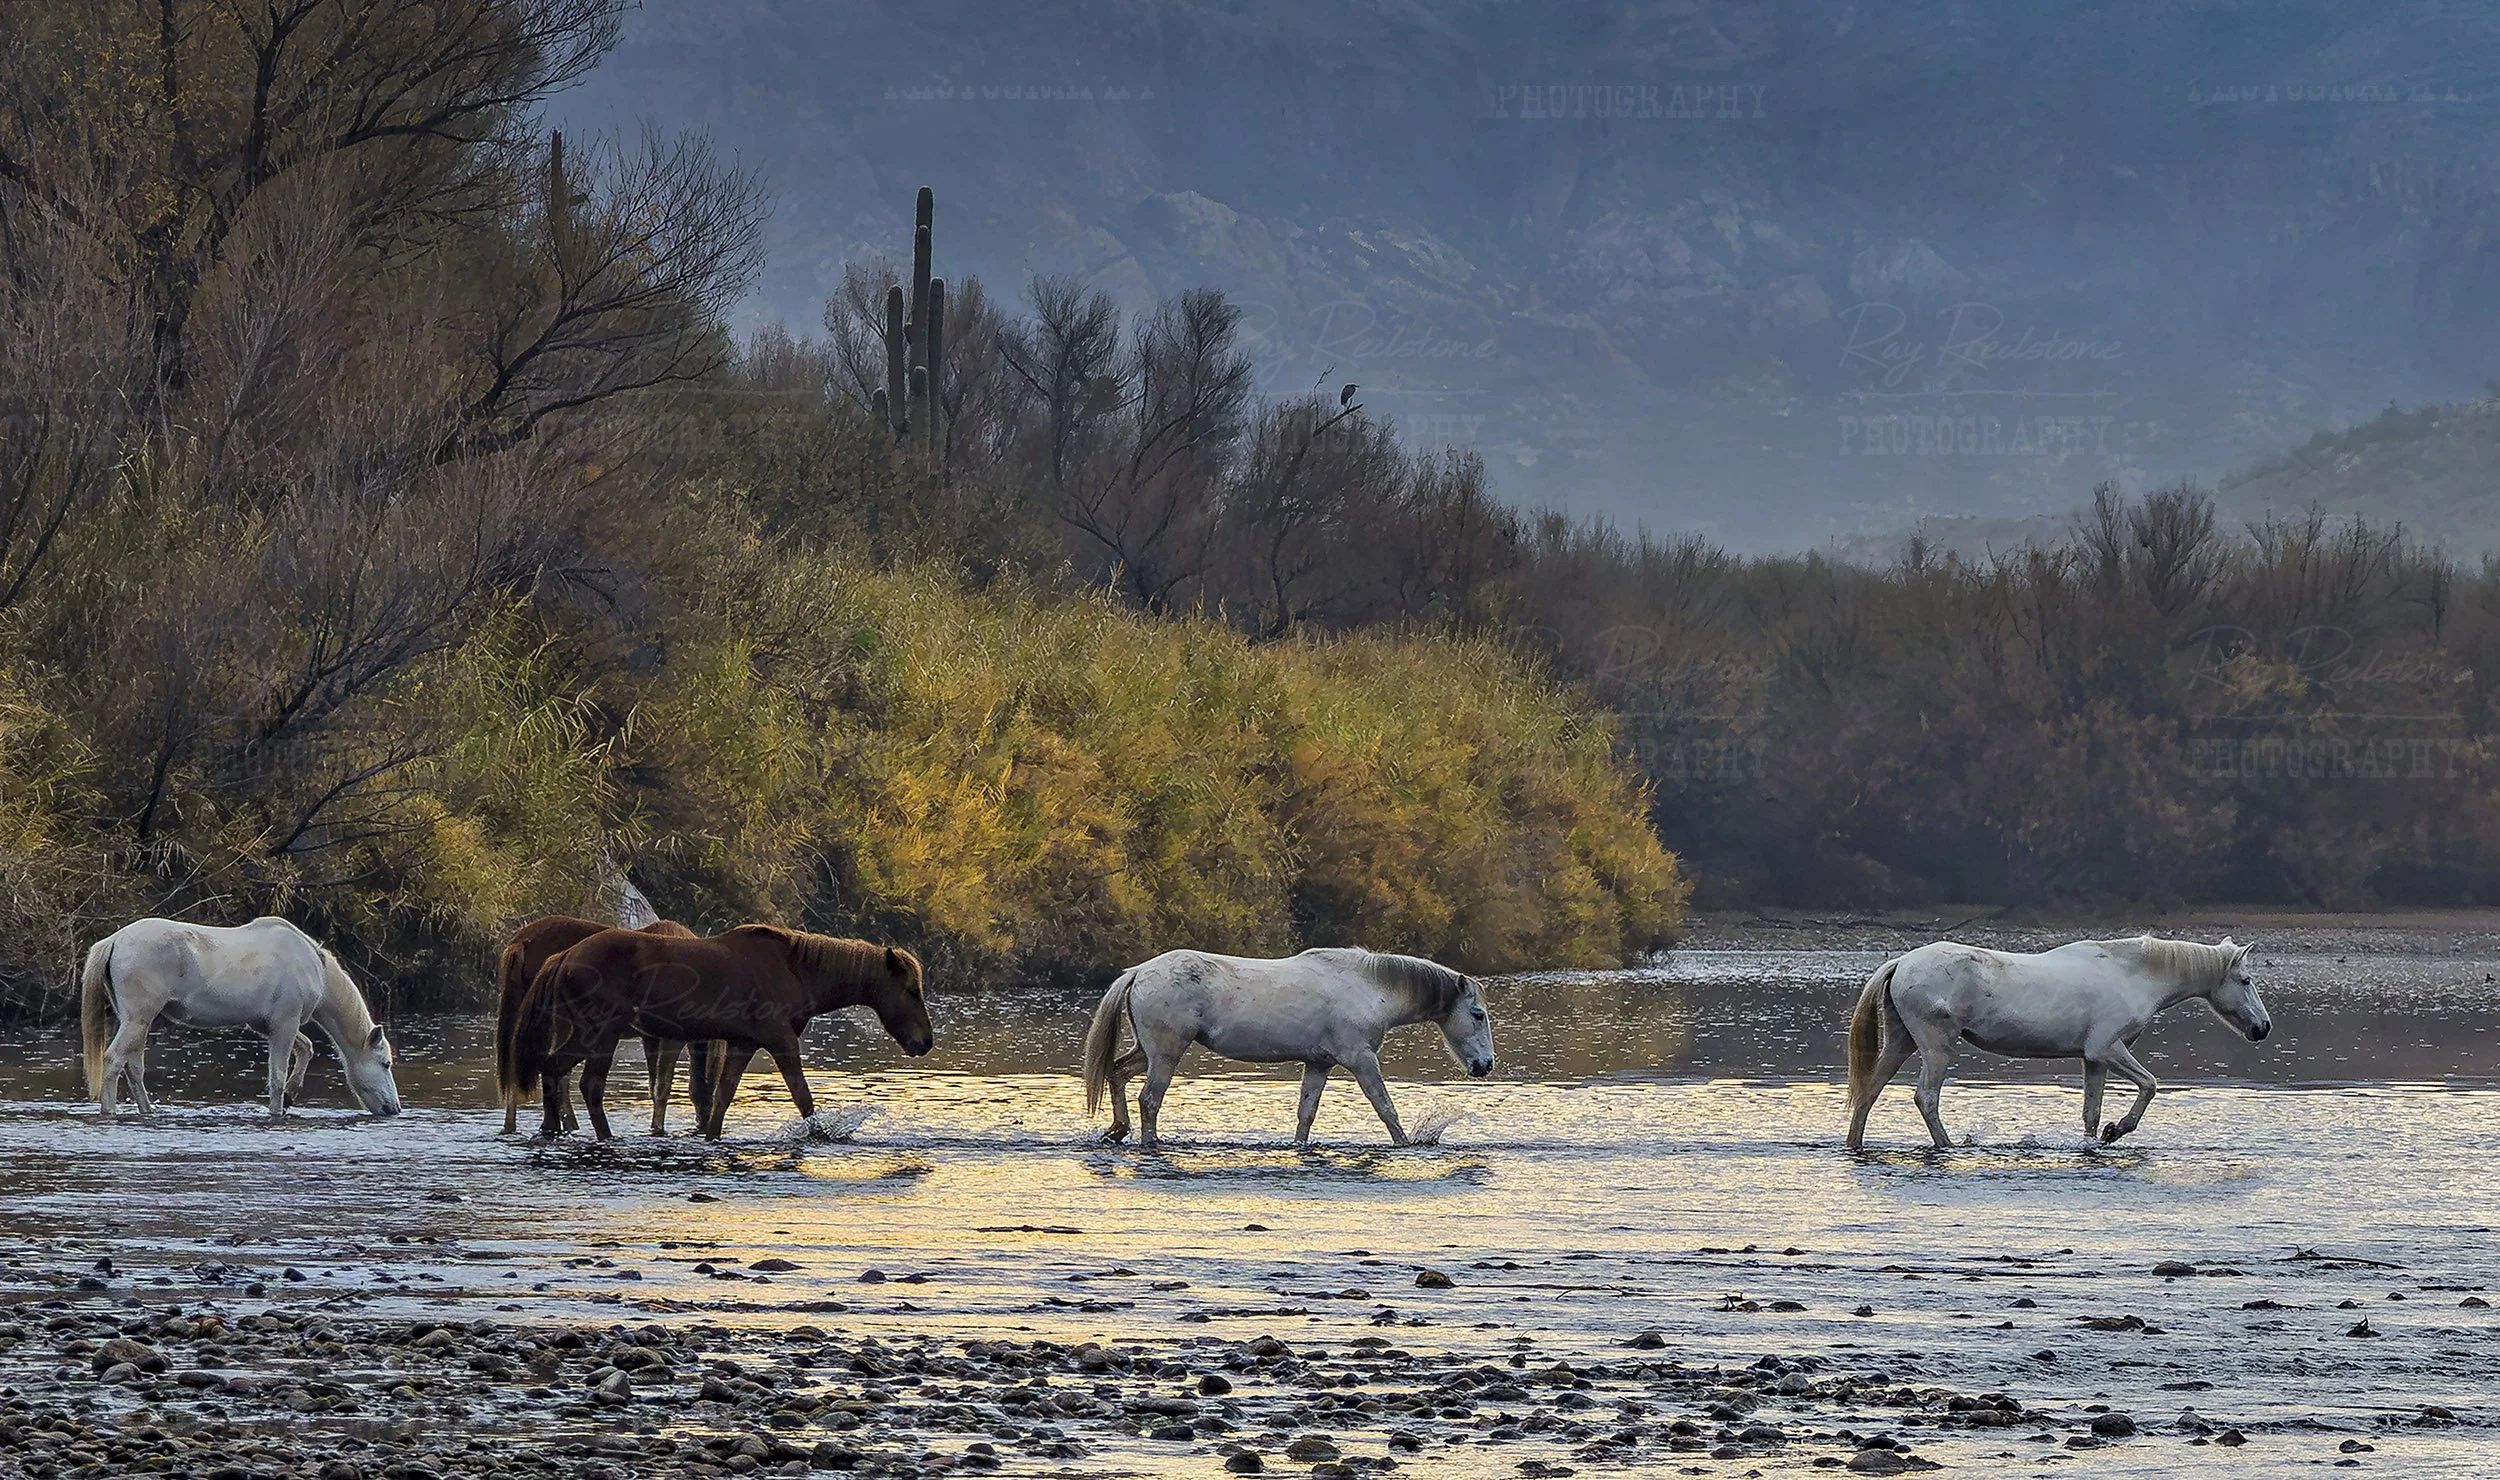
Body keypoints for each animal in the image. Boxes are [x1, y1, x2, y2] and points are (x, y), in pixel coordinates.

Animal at [80, 917, 404, 1121]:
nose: (394, 1108)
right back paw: (109, 1112)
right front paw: (278, 1108)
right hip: (137, 1020)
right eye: (385, 1064)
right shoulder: (284, 1025)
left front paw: (292, 1094)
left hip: (137, 1022)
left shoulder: (268, 1025)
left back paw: (147, 1111)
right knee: (113, 1061)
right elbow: (276, 1076)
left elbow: (306, 1048)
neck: (314, 967)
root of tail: (115, 940)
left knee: (134, 1068)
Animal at [493, 916, 709, 1136]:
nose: (702, 1122)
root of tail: (519, 943)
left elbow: (654, 1083)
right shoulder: (668, 1037)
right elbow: (666, 1085)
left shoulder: (650, 1037)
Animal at [506, 924, 932, 1140]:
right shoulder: (780, 1040)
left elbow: (721, 1098)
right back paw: (604, 1137)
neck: (796, 970)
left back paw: (551, 1130)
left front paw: (711, 1137)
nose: (924, 1042)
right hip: (600, 1036)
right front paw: (823, 1135)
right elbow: (803, 1098)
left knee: (552, 1071)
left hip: (586, 1035)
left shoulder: (742, 1043)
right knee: (586, 1084)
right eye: (912, 990)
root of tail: (563, 957)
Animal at [1081, 947, 1496, 1151]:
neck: (1371, 988)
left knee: (1117, 1073)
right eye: (1477, 1015)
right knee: (1150, 1099)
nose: (1486, 1065)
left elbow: (1306, 1114)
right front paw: (1406, 1145)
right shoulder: (1361, 1060)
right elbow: (1386, 1108)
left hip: (1148, 1052)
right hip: (1166, 1055)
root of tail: (1138, 972)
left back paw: (1117, 1130)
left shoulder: (1319, 1064)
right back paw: (1148, 1141)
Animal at [1844, 934, 2272, 1151]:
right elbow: (2149, 1085)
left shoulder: (2093, 1059)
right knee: (1926, 1098)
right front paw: (2120, 1129)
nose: (2263, 1028)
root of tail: (1902, 963)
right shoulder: (2107, 1049)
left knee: (1869, 1092)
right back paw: (1948, 1146)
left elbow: (2091, 1112)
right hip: (1936, 1048)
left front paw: (2099, 1138)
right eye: (2246, 980)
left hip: (1901, 1043)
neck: (2132, 975)